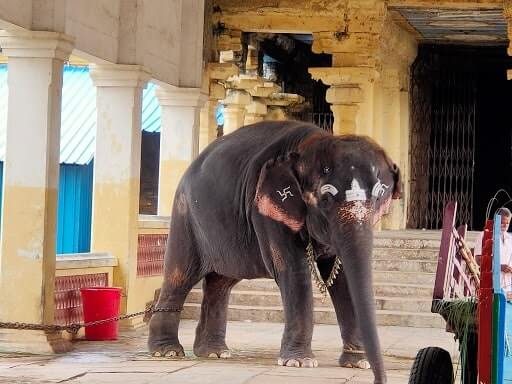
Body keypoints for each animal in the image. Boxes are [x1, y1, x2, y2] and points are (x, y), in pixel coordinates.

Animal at [148, 120, 400, 384]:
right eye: (325, 199)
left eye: (379, 198)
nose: (378, 379)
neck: (310, 143)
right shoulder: (265, 211)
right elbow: (293, 270)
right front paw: (299, 362)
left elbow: (342, 277)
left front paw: (357, 363)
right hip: (185, 216)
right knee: (179, 276)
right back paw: (167, 352)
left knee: (220, 284)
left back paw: (214, 353)